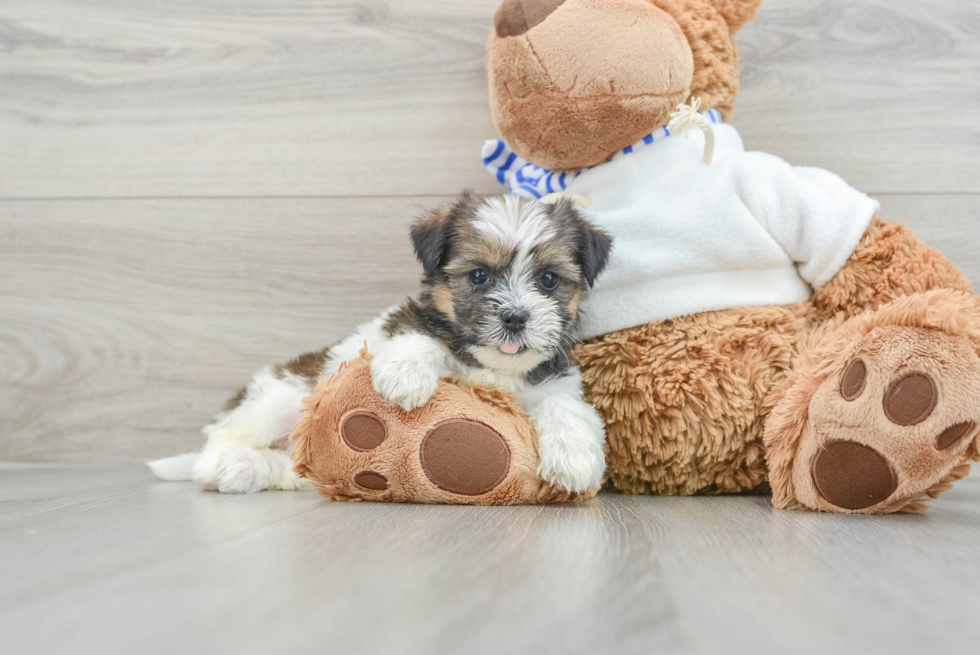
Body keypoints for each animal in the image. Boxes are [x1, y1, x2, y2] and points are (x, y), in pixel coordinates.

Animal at [150, 192, 612, 494]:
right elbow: (420, 334)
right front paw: (406, 376)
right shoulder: (403, 326)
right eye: (479, 275)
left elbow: (566, 406)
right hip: (279, 398)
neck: (493, 368)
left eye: (549, 280)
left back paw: (252, 469)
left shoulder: (556, 380)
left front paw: (574, 459)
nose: (515, 317)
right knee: (217, 445)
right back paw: (227, 466)